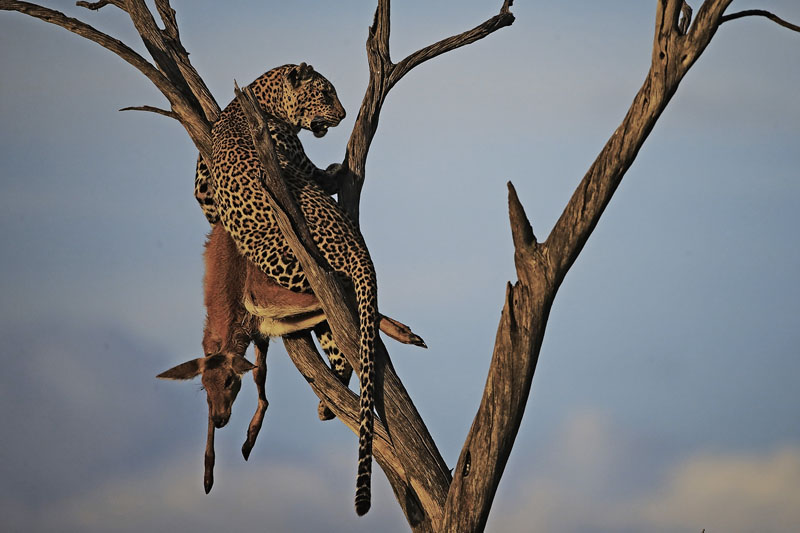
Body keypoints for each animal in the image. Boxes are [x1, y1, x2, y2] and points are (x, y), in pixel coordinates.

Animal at [207, 63, 377, 516]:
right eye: (325, 92)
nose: (343, 113)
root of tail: (359, 249)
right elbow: (316, 172)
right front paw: (334, 171)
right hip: (293, 267)